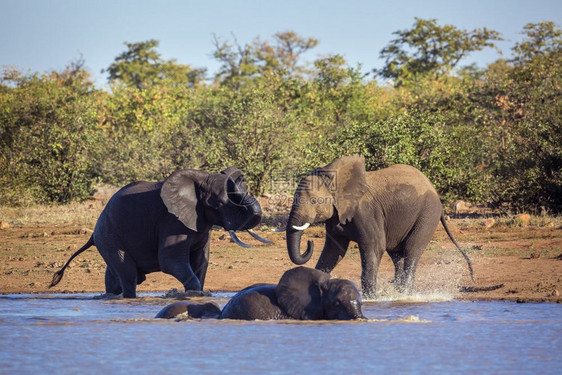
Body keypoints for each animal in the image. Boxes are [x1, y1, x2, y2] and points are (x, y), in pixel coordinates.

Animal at [48, 167, 266, 300]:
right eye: (220, 203)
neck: (201, 178)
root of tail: (93, 234)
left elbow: (201, 262)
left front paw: (196, 296)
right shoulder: (171, 221)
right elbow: (170, 261)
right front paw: (192, 295)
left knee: (115, 275)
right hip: (108, 235)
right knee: (128, 274)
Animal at [282, 156, 470, 300]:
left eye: (314, 201)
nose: (309, 243)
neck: (332, 174)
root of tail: (434, 190)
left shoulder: (366, 212)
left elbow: (374, 247)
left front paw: (371, 298)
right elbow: (333, 251)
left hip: (427, 214)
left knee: (411, 251)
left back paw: (405, 294)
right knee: (397, 255)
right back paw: (398, 292)